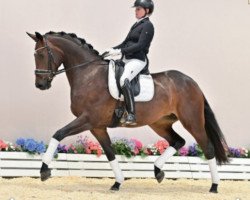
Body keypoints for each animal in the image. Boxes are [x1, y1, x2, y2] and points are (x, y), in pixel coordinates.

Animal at [26, 31, 229, 194]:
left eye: (42, 54)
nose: (40, 84)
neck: (88, 74)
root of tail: (192, 82)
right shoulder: (97, 127)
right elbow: (110, 153)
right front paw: (117, 183)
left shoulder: (88, 119)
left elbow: (58, 134)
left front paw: (44, 170)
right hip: (160, 123)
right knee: (178, 141)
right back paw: (158, 171)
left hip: (192, 121)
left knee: (207, 148)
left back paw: (214, 187)